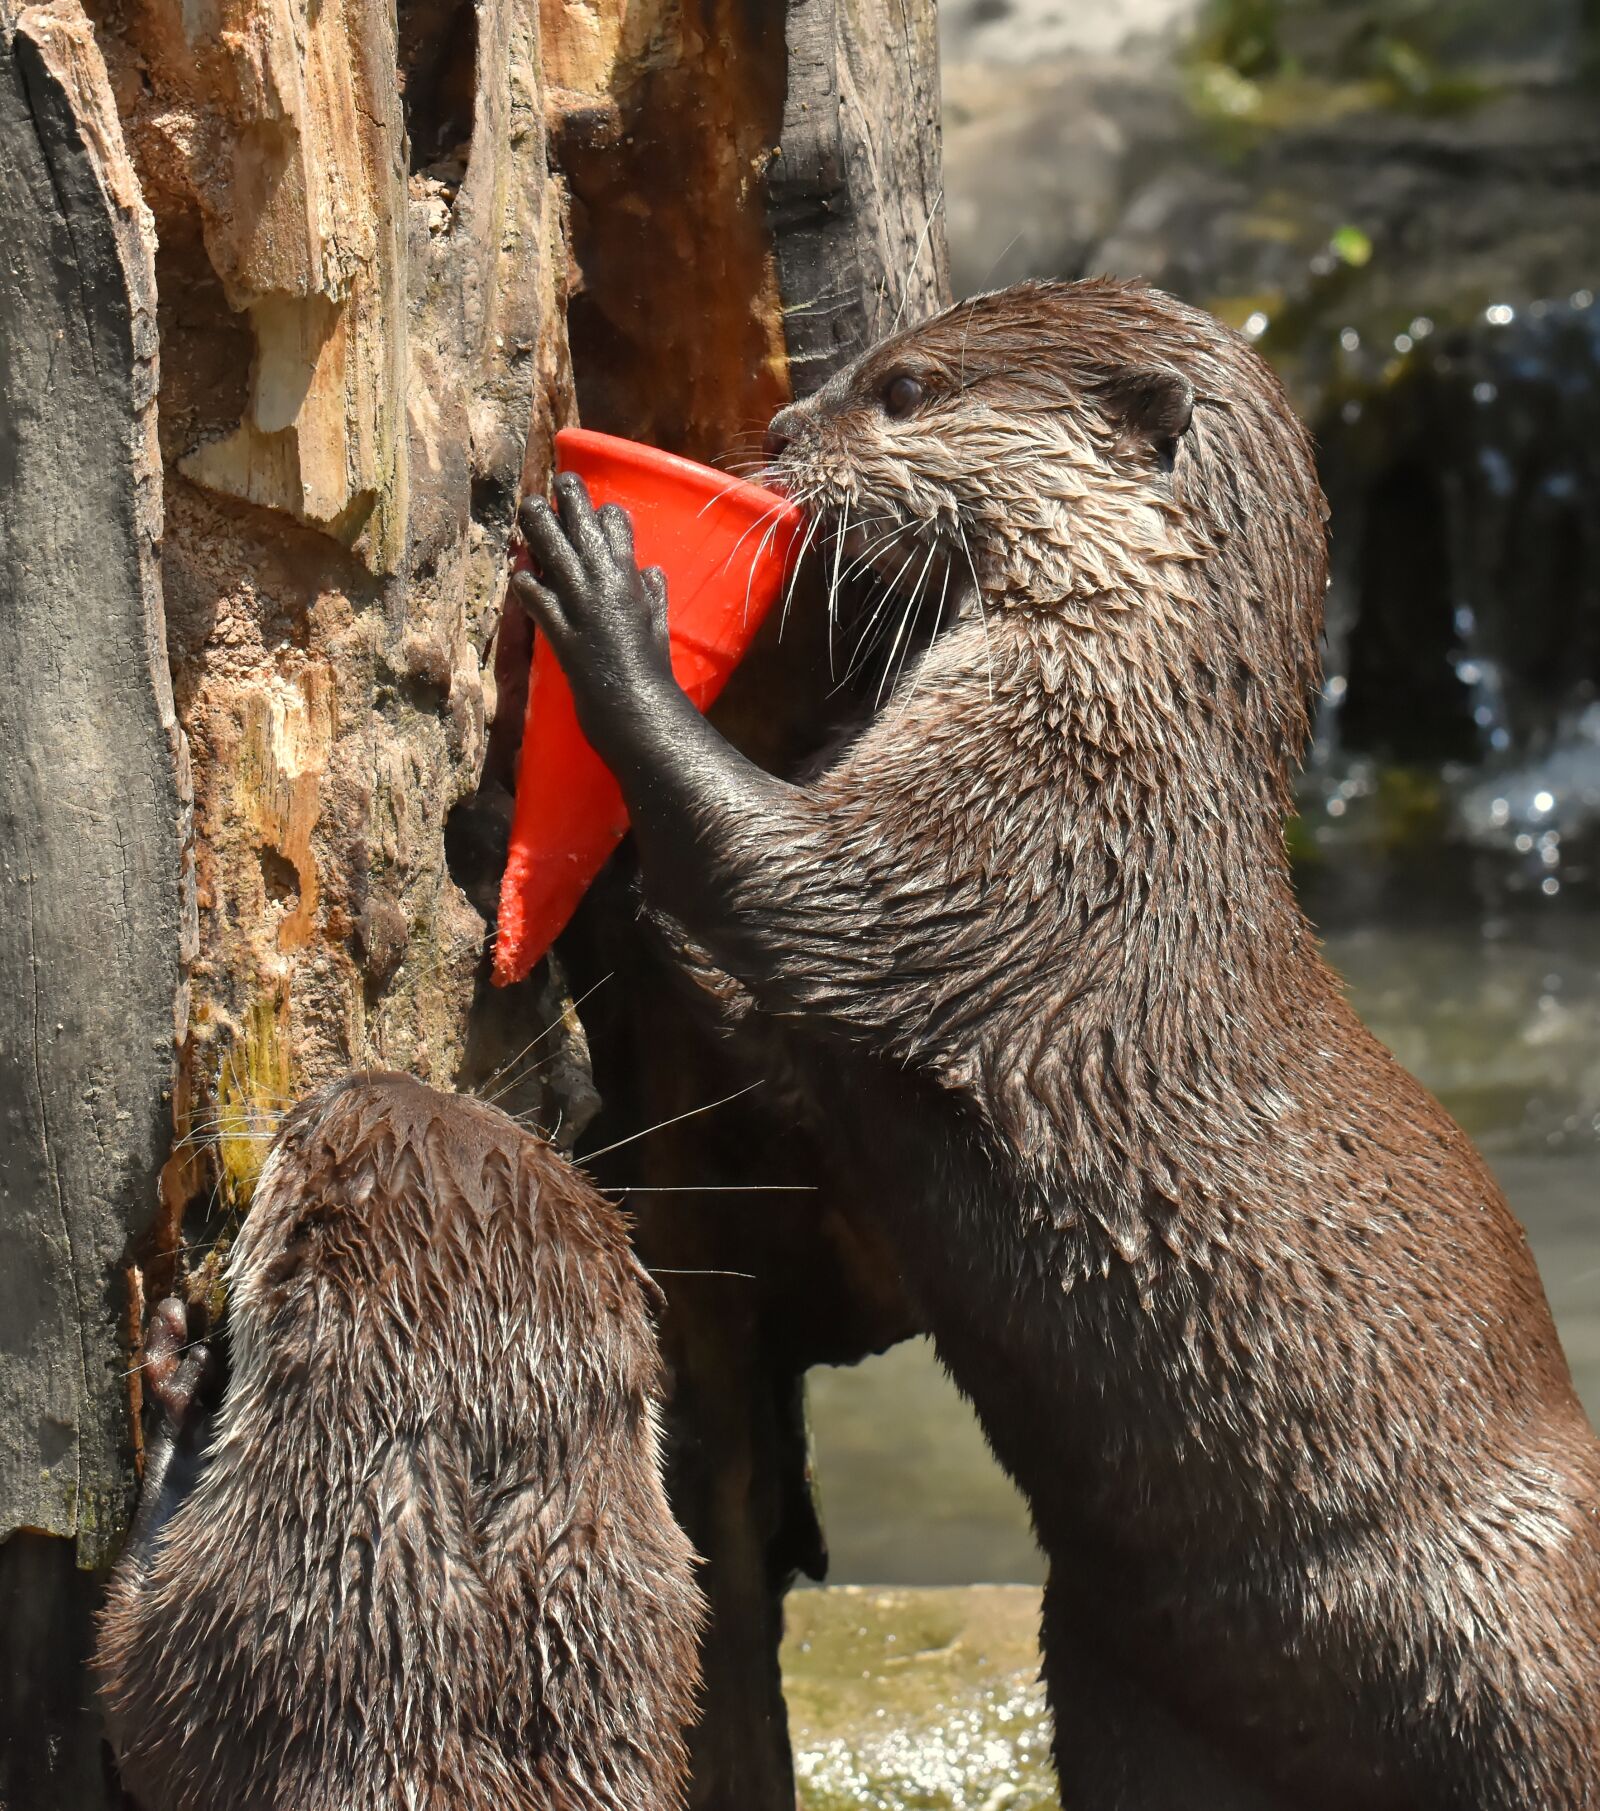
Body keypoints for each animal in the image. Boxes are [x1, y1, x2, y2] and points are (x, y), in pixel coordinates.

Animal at [96, 1072, 703, 1811]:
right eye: (528, 1129)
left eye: (304, 1129)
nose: (374, 1074)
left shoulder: (219, 1643)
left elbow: (128, 1695)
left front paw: (182, 1383)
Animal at [512, 278, 1600, 1809]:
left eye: (904, 390)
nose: (781, 429)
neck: (1125, 719)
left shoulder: (1017, 836)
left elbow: (793, 880)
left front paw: (613, 615)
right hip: (1112, 1676)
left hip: (1521, 1668)